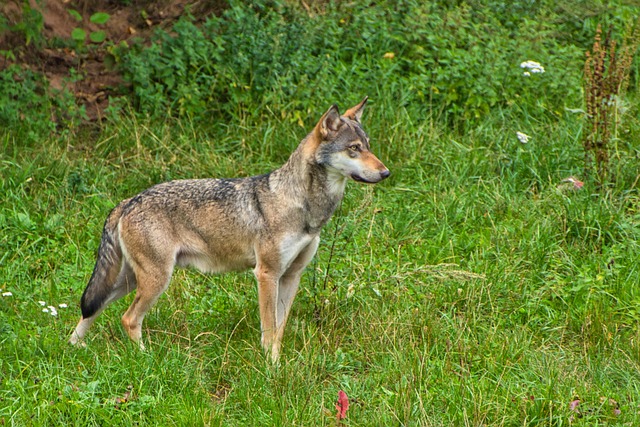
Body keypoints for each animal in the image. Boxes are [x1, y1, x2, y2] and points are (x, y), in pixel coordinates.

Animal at [69, 97, 389, 362]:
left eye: (369, 145)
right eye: (354, 149)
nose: (386, 172)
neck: (303, 205)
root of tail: (127, 201)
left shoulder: (291, 276)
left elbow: (280, 329)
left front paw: (279, 363)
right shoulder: (266, 274)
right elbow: (269, 328)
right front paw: (271, 368)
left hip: (130, 281)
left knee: (91, 308)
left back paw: (74, 348)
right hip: (155, 280)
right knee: (128, 319)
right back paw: (145, 358)